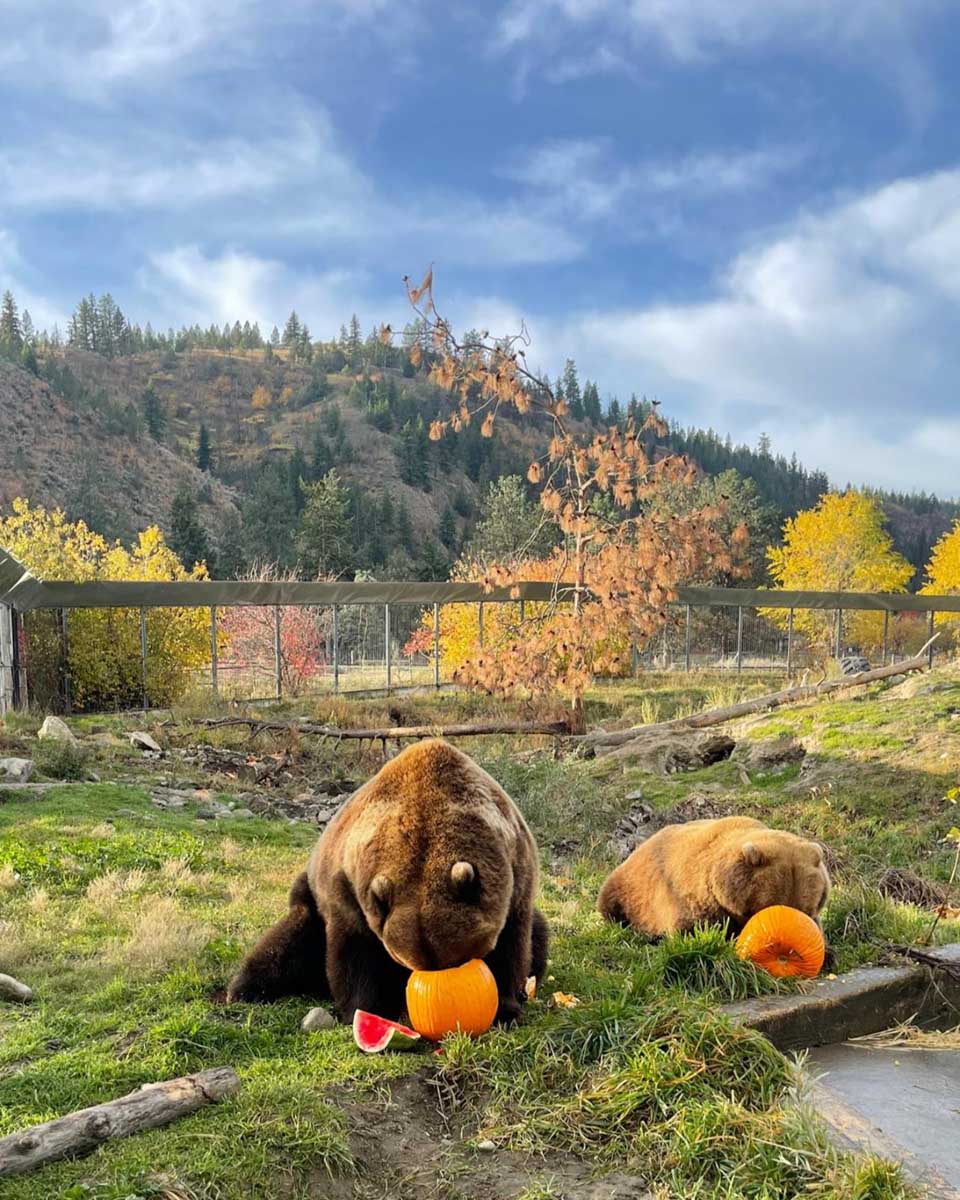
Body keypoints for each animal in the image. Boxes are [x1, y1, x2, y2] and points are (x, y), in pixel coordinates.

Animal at [227, 739, 548, 1026]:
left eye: (459, 958)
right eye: (412, 961)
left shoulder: (516, 869)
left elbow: (513, 946)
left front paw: (506, 1010)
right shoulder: (347, 888)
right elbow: (354, 953)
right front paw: (366, 1010)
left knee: (540, 935)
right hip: (307, 898)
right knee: (288, 941)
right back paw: (244, 989)